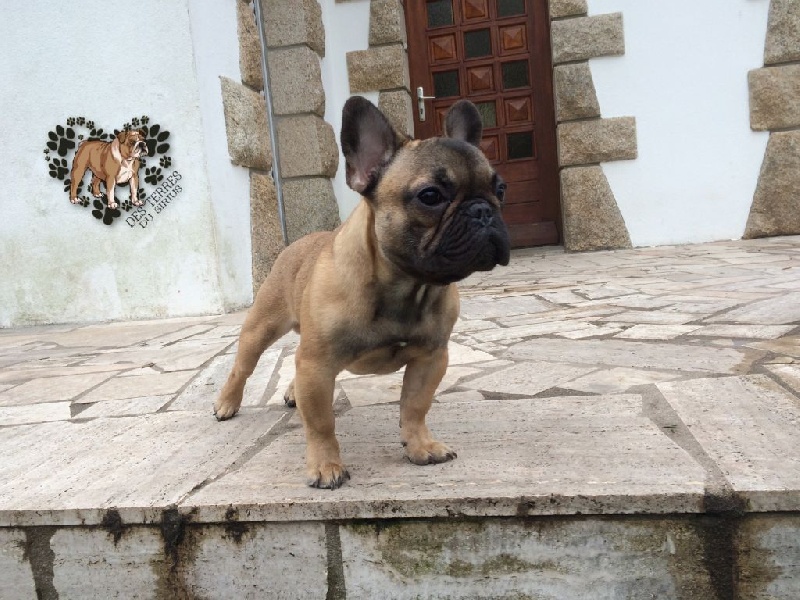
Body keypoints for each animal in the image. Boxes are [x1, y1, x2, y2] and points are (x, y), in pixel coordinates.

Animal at [214, 97, 510, 489]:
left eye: (501, 189)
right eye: (430, 196)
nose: (483, 210)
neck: (404, 285)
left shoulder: (431, 357)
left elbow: (415, 406)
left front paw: (421, 446)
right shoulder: (318, 364)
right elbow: (321, 423)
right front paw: (325, 465)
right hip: (261, 328)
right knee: (242, 368)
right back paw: (227, 403)